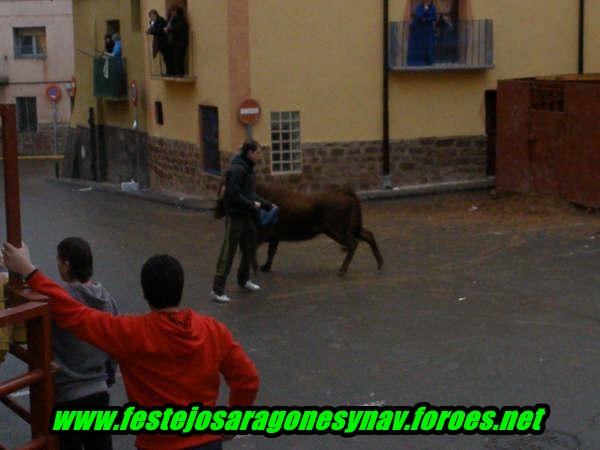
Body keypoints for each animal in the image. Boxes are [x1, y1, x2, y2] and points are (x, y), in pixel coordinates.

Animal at [216, 183, 384, 274]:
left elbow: (253, 249)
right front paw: (265, 267)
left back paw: (342, 270)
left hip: (336, 230)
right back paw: (380, 264)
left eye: (223, 197)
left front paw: (256, 268)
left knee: (353, 243)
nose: (215, 212)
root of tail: (344, 191)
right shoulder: (274, 237)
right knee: (368, 235)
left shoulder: (262, 234)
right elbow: (271, 252)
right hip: (351, 227)